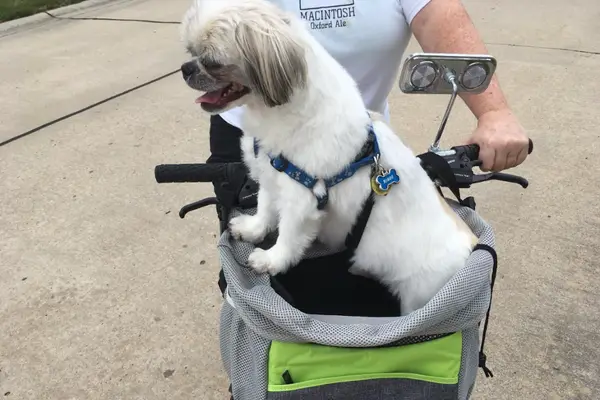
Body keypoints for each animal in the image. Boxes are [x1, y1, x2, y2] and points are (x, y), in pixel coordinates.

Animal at [178, 0, 478, 314]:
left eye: (212, 62)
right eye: (191, 53)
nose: (186, 69)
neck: (278, 113)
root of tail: (472, 246)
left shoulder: (302, 198)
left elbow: (288, 235)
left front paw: (271, 260)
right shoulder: (273, 176)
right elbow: (265, 208)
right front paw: (253, 229)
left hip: (418, 297)